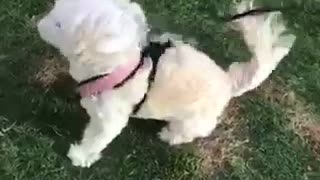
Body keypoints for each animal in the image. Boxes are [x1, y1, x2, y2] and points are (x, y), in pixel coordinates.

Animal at [37, 0, 296, 167]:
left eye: (59, 24)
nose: (39, 23)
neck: (115, 68)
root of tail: (228, 82)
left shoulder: (110, 120)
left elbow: (95, 139)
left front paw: (80, 156)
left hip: (193, 121)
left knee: (186, 132)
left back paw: (169, 135)